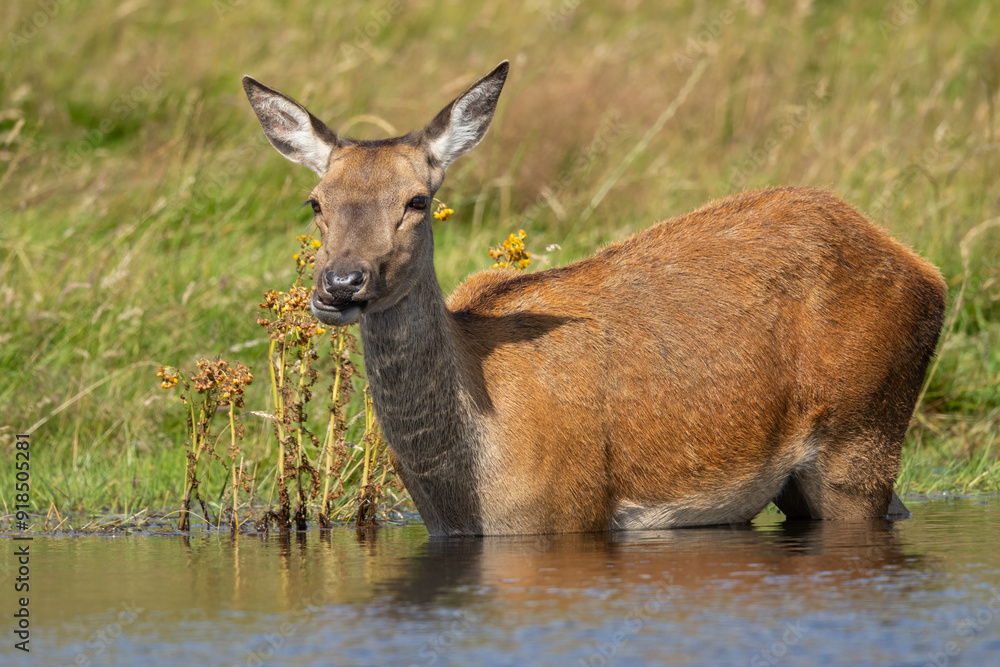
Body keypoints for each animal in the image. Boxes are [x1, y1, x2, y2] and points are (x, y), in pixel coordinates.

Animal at [243, 60, 947, 536]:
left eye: (417, 200)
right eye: (316, 202)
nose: (340, 284)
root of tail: (928, 272)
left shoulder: (567, 513)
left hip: (863, 433)